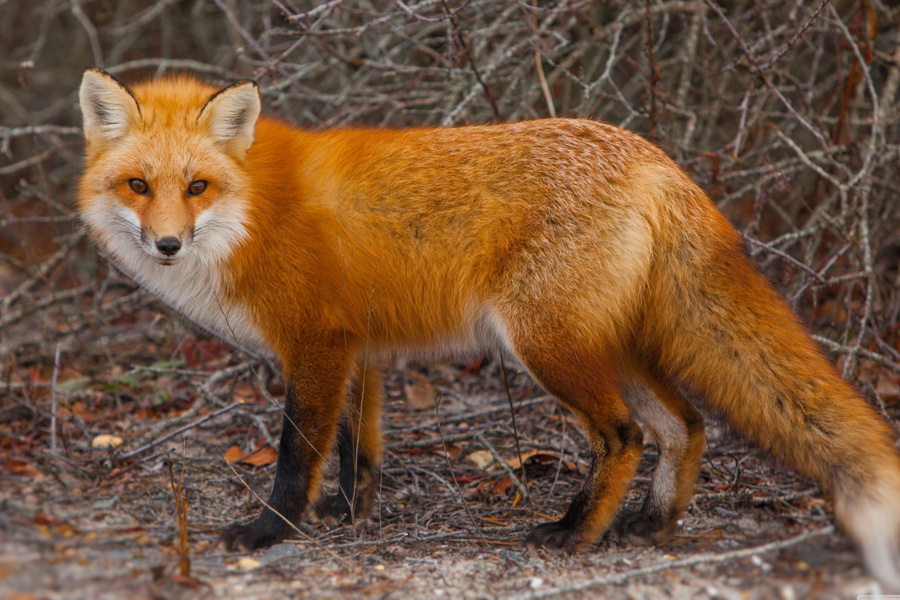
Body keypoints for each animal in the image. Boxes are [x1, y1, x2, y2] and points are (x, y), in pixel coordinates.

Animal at [77, 69, 900, 584]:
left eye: (197, 187)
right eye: (139, 185)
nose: (166, 244)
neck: (251, 213)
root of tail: (655, 158)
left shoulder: (315, 344)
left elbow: (297, 452)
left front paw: (270, 531)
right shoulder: (357, 351)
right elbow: (356, 450)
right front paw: (352, 513)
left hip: (547, 346)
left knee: (625, 435)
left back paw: (575, 534)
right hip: (612, 346)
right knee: (686, 425)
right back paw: (651, 525)